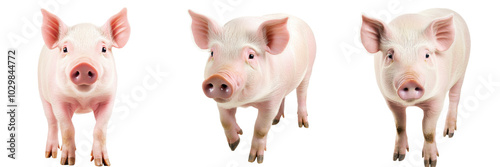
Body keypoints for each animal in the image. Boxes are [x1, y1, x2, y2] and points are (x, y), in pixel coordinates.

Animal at [38, 8, 131, 166]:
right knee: (52, 121)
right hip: (42, 93)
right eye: (65, 49)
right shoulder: (57, 99)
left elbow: (100, 129)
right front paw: (67, 162)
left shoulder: (109, 98)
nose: (83, 65)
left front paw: (102, 162)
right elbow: (67, 128)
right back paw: (50, 155)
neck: (83, 100)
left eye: (104, 49)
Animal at [188, 10, 316, 163]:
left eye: (251, 55)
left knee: (302, 94)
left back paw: (303, 124)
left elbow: (261, 128)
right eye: (212, 53)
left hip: (309, 67)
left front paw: (254, 159)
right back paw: (275, 121)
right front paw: (234, 144)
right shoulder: (222, 102)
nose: (218, 77)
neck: (247, 102)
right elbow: (225, 121)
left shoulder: (271, 99)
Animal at [360, 8, 468, 167]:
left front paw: (430, 163)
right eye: (390, 55)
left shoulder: (437, 99)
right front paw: (398, 158)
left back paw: (449, 133)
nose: (410, 80)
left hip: (462, 71)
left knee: (455, 97)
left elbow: (428, 131)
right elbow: (400, 126)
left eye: (427, 55)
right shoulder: (391, 101)